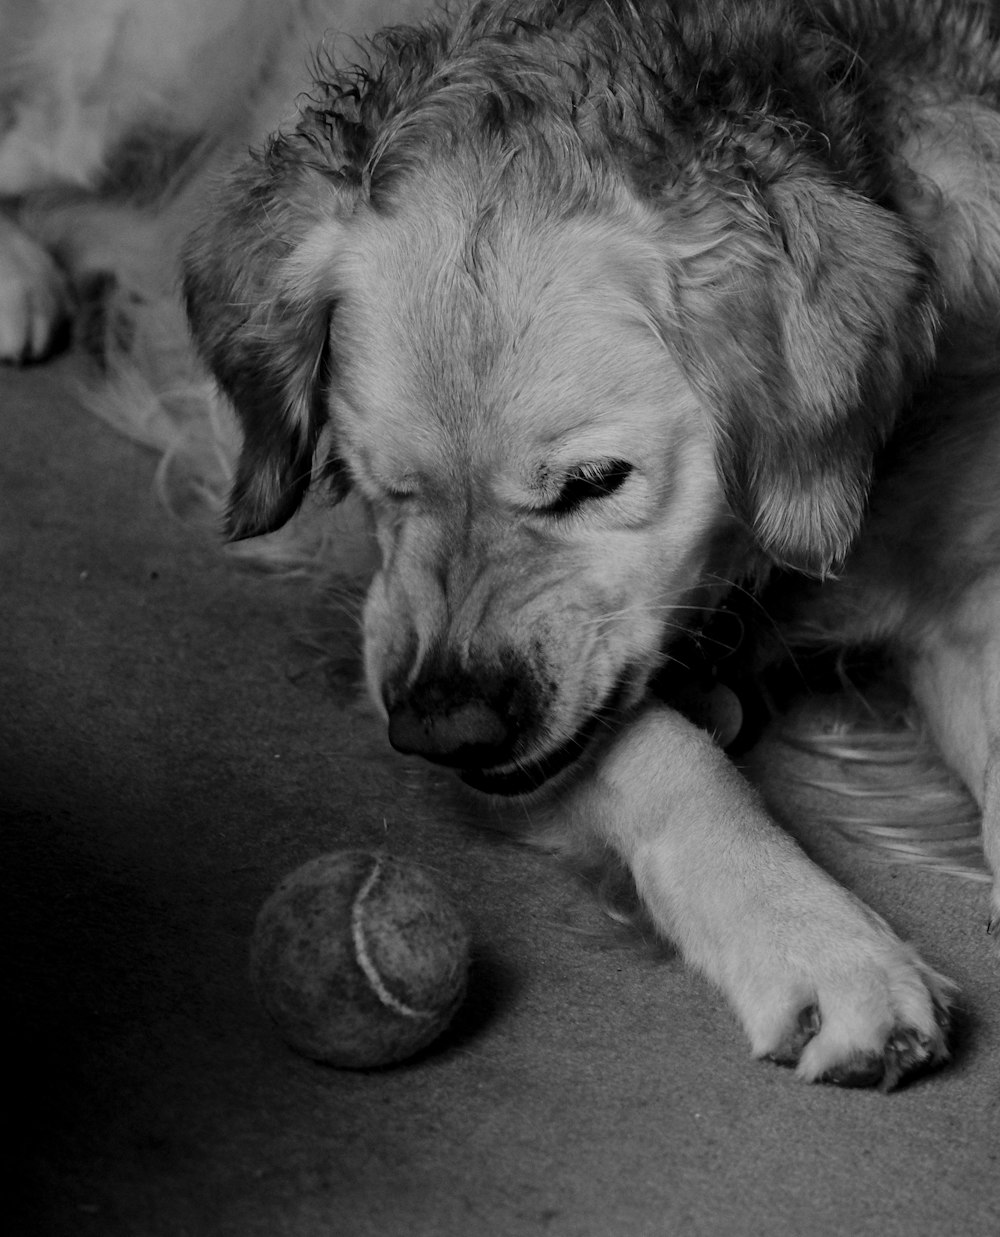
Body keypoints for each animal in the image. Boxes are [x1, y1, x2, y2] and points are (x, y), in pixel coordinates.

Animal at [7, 0, 1000, 1088]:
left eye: (594, 482)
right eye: (374, 477)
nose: (443, 729)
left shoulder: (956, 583)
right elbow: (666, 749)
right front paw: (820, 941)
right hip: (139, 80)